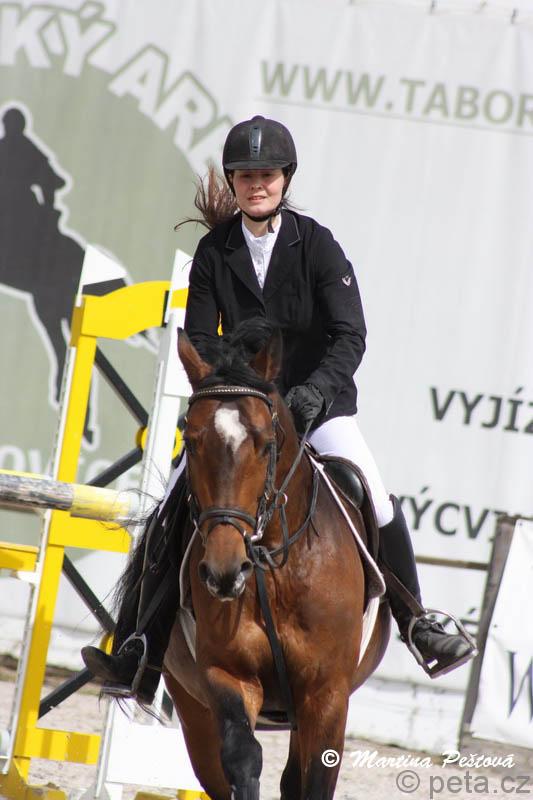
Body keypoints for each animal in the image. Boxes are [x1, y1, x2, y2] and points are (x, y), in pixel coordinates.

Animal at [158, 323, 390, 800]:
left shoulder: (327, 694)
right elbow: (243, 760)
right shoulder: (226, 675)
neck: (275, 569)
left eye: (266, 445)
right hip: (191, 707)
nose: (225, 573)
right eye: (190, 440)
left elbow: (315, 780)